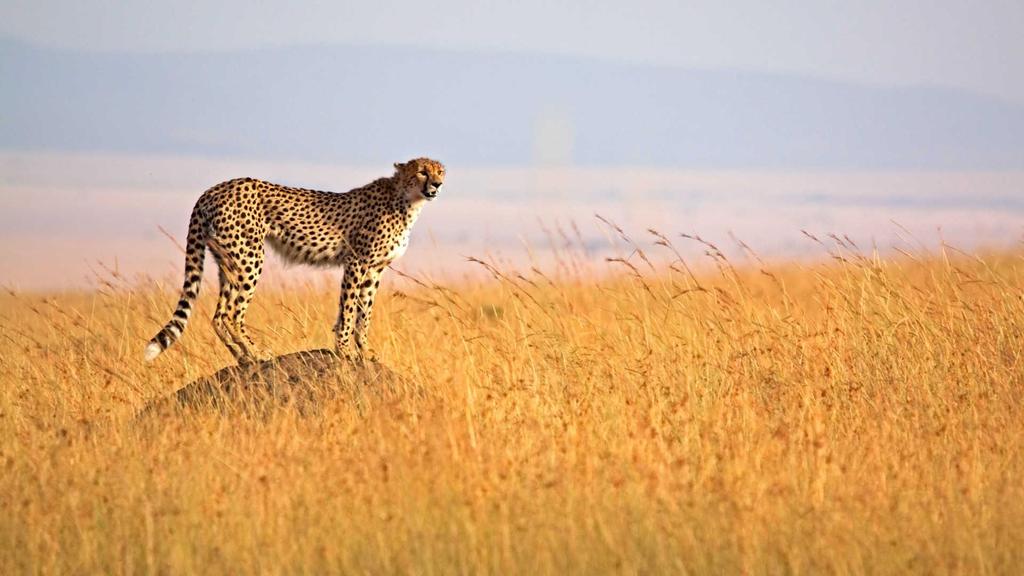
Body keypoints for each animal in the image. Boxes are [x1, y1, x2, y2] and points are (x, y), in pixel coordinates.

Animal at [144, 156, 444, 362]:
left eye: (440, 171)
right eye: (422, 171)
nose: (438, 184)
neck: (406, 200)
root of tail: (214, 189)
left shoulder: (374, 270)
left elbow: (363, 312)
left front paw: (365, 350)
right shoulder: (357, 262)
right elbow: (349, 310)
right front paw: (345, 350)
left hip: (228, 261)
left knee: (219, 316)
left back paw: (242, 358)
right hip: (250, 257)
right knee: (232, 313)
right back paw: (257, 353)